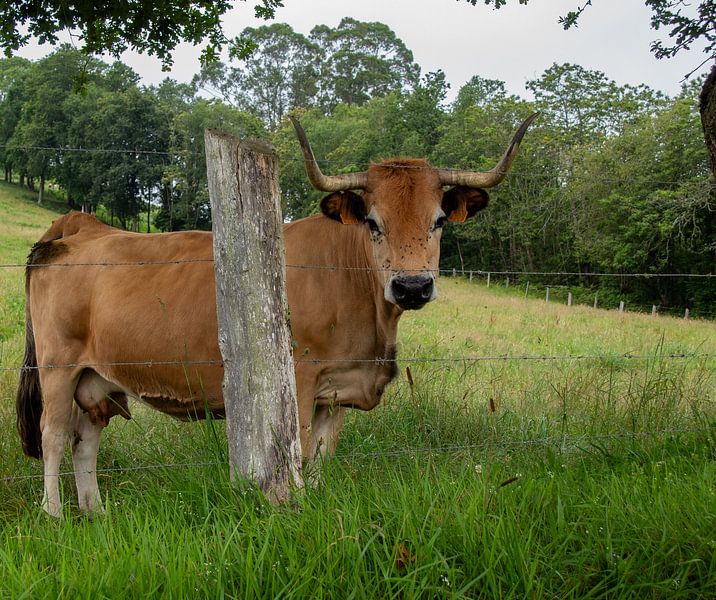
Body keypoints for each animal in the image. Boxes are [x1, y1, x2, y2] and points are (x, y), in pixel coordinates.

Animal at [16, 114, 537, 517]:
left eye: (439, 220)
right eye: (373, 222)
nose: (412, 286)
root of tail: (82, 226)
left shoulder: (337, 391)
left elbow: (323, 458)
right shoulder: (300, 382)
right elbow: (298, 455)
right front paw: (296, 505)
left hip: (96, 378)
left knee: (85, 439)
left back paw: (95, 513)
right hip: (57, 366)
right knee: (54, 435)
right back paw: (55, 515)